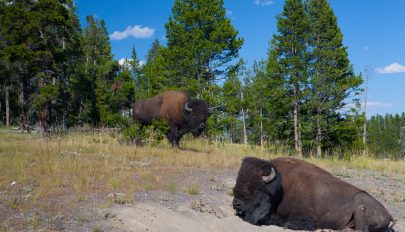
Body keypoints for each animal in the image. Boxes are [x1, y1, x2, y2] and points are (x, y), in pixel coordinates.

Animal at [232, 157, 392, 231]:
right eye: (237, 180)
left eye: (257, 188)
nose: (236, 204)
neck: (281, 188)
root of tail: (388, 214)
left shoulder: (303, 219)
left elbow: (285, 223)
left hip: (360, 207)